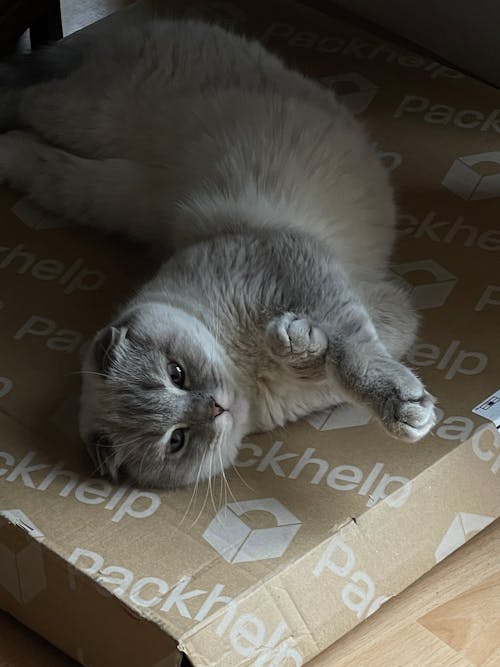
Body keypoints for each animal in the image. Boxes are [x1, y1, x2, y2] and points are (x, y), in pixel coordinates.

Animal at [0, 5, 436, 490]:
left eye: (177, 374)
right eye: (177, 440)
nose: (215, 407)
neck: (246, 373)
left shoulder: (310, 274)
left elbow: (350, 353)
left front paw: (305, 345)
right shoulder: (373, 310)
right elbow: (333, 360)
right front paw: (299, 343)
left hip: (89, 121)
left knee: (24, 98)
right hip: (92, 183)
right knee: (30, 135)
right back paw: (3, 151)